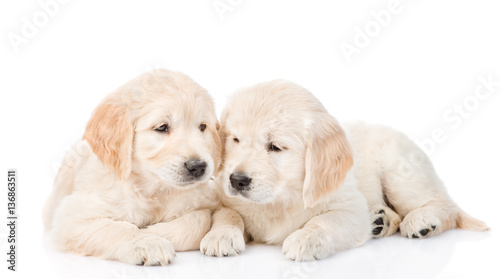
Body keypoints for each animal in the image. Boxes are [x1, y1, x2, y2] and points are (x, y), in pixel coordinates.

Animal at [42, 69, 222, 266]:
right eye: (162, 127)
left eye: (202, 126)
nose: (198, 167)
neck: (152, 189)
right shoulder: (71, 216)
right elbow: (118, 228)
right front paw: (147, 242)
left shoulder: (204, 200)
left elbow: (199, 219)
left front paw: (154, 231)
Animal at [200, 79, 488, 262]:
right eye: (235, 140)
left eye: (275, 147)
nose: (237, 180)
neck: (281, 200)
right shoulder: (226, 200)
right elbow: (228, 214)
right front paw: (220, 236)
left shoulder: (350, 208)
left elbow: (324, 221)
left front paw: (305, 239)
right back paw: (381, 221)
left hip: (400, 172)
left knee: (445, 205)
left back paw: (423, 221)